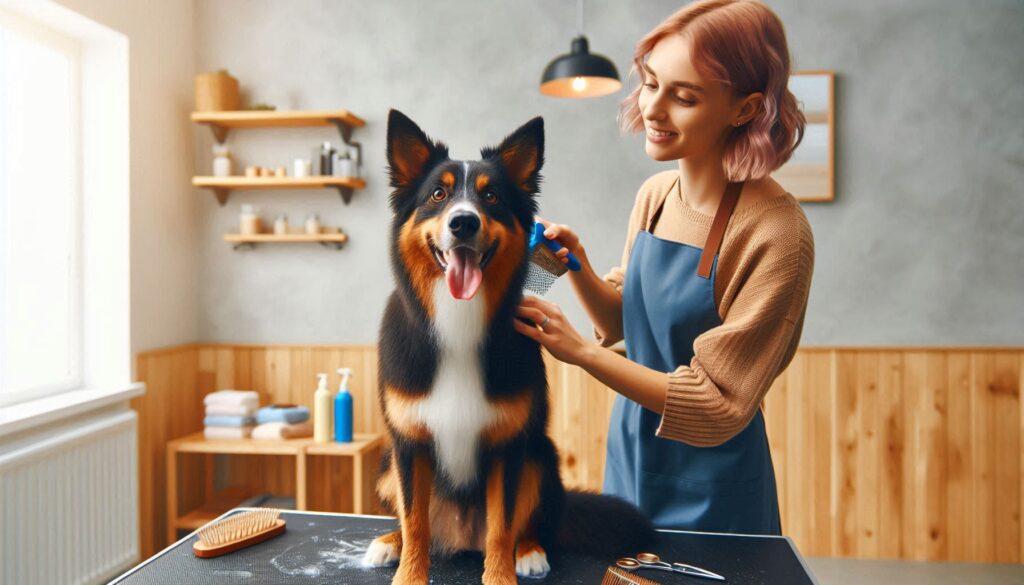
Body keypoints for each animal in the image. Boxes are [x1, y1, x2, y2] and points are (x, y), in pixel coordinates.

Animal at [368, 111, 655, 585]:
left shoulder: (508, 444)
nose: (463, 222)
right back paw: (387, 542)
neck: (459, 318)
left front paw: (502, 573)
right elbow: (414, 521)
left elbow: (502, 527)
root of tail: (460, 536)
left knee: (530, 523)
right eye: (438, 194)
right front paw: (409, 574)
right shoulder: (409, 442)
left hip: (541, 456)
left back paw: (531, 552)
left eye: (492, 197)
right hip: (386, 464)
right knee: (416, 523)